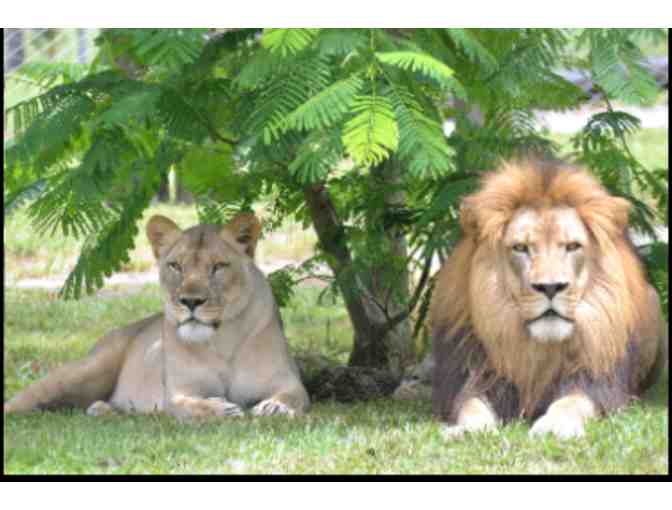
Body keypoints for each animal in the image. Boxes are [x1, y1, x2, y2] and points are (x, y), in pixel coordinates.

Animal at [4, 213, 310, 419]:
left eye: (218, 267)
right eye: (176, 266)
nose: (190, 301)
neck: (221, 340)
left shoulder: (288, 381)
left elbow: (292, 395)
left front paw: (275, 407)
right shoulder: (177, 391)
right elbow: (188, 406)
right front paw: (222, 410)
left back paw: (104, 409)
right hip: (86, 369)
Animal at [431, 159, 667, 439]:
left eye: (572, 246)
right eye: (520, 248)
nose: (551, 287)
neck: (540, 351)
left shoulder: (595, 380)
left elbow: (573, 401)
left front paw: (556, 425)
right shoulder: (476, 375)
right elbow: (471, 404)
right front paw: (467, 429)